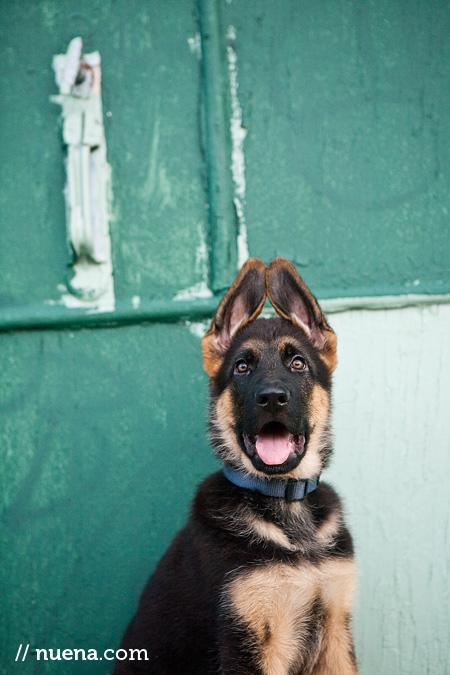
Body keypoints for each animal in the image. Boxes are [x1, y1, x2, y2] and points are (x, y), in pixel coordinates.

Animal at [114, 256, 356, 672]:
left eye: (298, 364)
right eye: (242, 368)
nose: (272, 398)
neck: (285, 500)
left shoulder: (336, 631)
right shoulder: (248, 638)